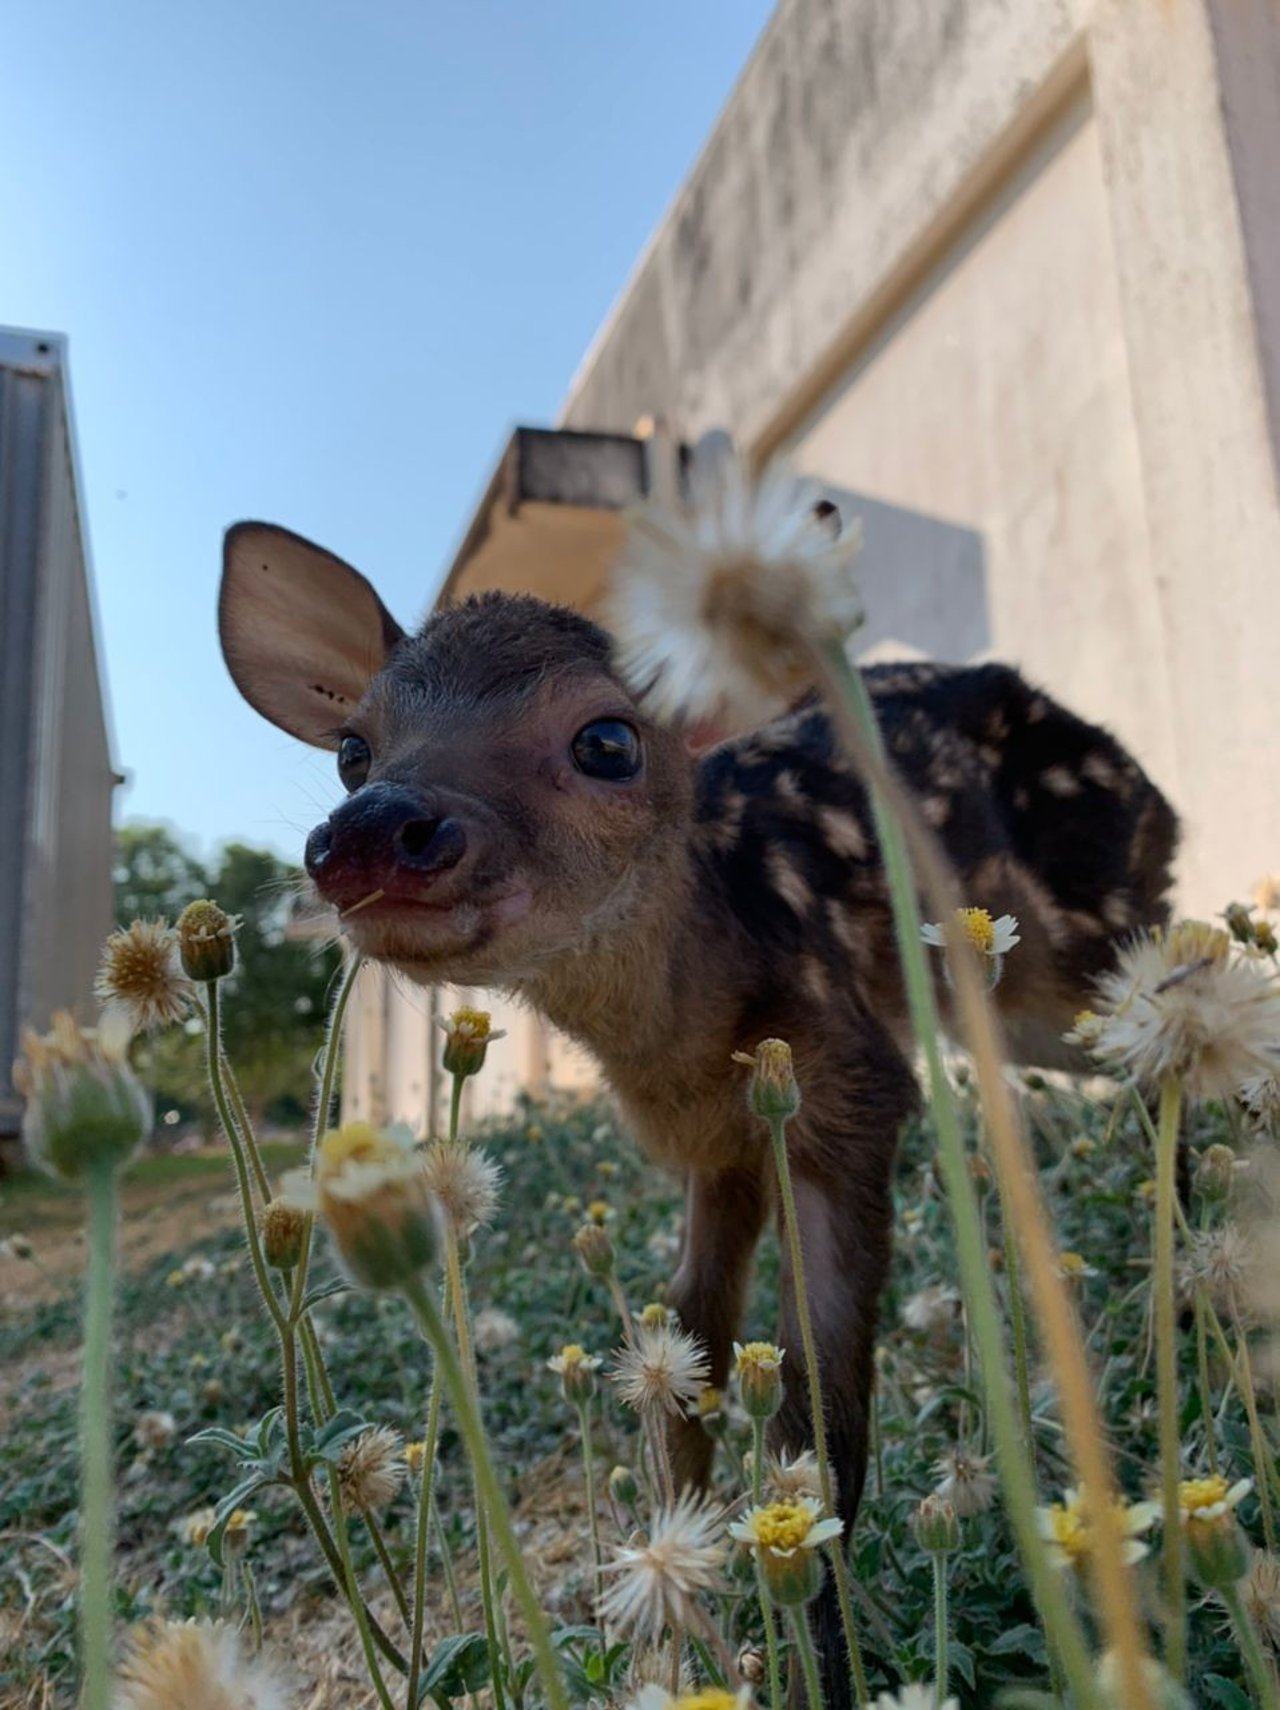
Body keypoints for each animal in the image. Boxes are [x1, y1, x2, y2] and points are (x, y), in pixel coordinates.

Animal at [220, 519, 1175, 1696]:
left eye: (607, 742)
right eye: (353, 748)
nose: (370, 831)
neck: (687, 1035)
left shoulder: (849, 1085)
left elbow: (818, 1412)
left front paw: (820, 1666)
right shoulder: (709, 1147)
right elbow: (689, 1357)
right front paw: (666, 1634)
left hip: (1078, 950)